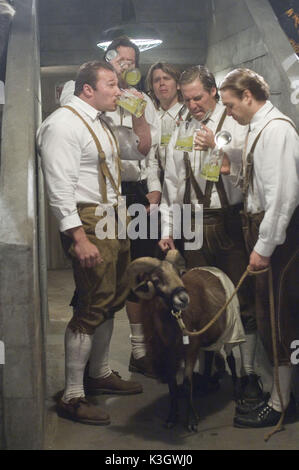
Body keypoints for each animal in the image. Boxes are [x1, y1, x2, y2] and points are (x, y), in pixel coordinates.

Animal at [127, 252, 245, 432]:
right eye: (156, 280)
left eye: (179, 273)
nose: (183, 299)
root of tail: (215, 269)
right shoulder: (167, 352)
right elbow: (172, 384)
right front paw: (171, 417)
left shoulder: (191, 348)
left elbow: (187, 382)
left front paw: (191, 421)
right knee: (209, 357)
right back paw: (205, 387)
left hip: (231, 330)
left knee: (231, 360)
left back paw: (237, 395)